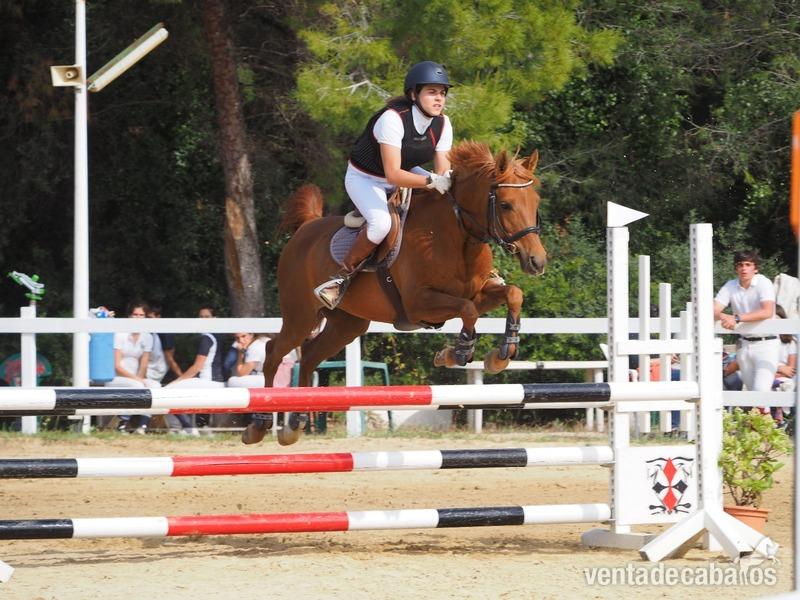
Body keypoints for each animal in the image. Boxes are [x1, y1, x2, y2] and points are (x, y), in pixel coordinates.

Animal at [247, 140, 547, 445]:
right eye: (506, 205)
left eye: (535, 202)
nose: (537, 261)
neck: (454, 236)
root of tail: (307, 226)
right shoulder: (418, 304)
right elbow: (468, 310)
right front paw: (458, 352)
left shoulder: (477, 293)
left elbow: (513, 294)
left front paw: (502, 353)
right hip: (301, 316)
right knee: (273, 352)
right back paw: (259, 424)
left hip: (347, 325)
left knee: (308, 355)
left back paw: (294, 423)